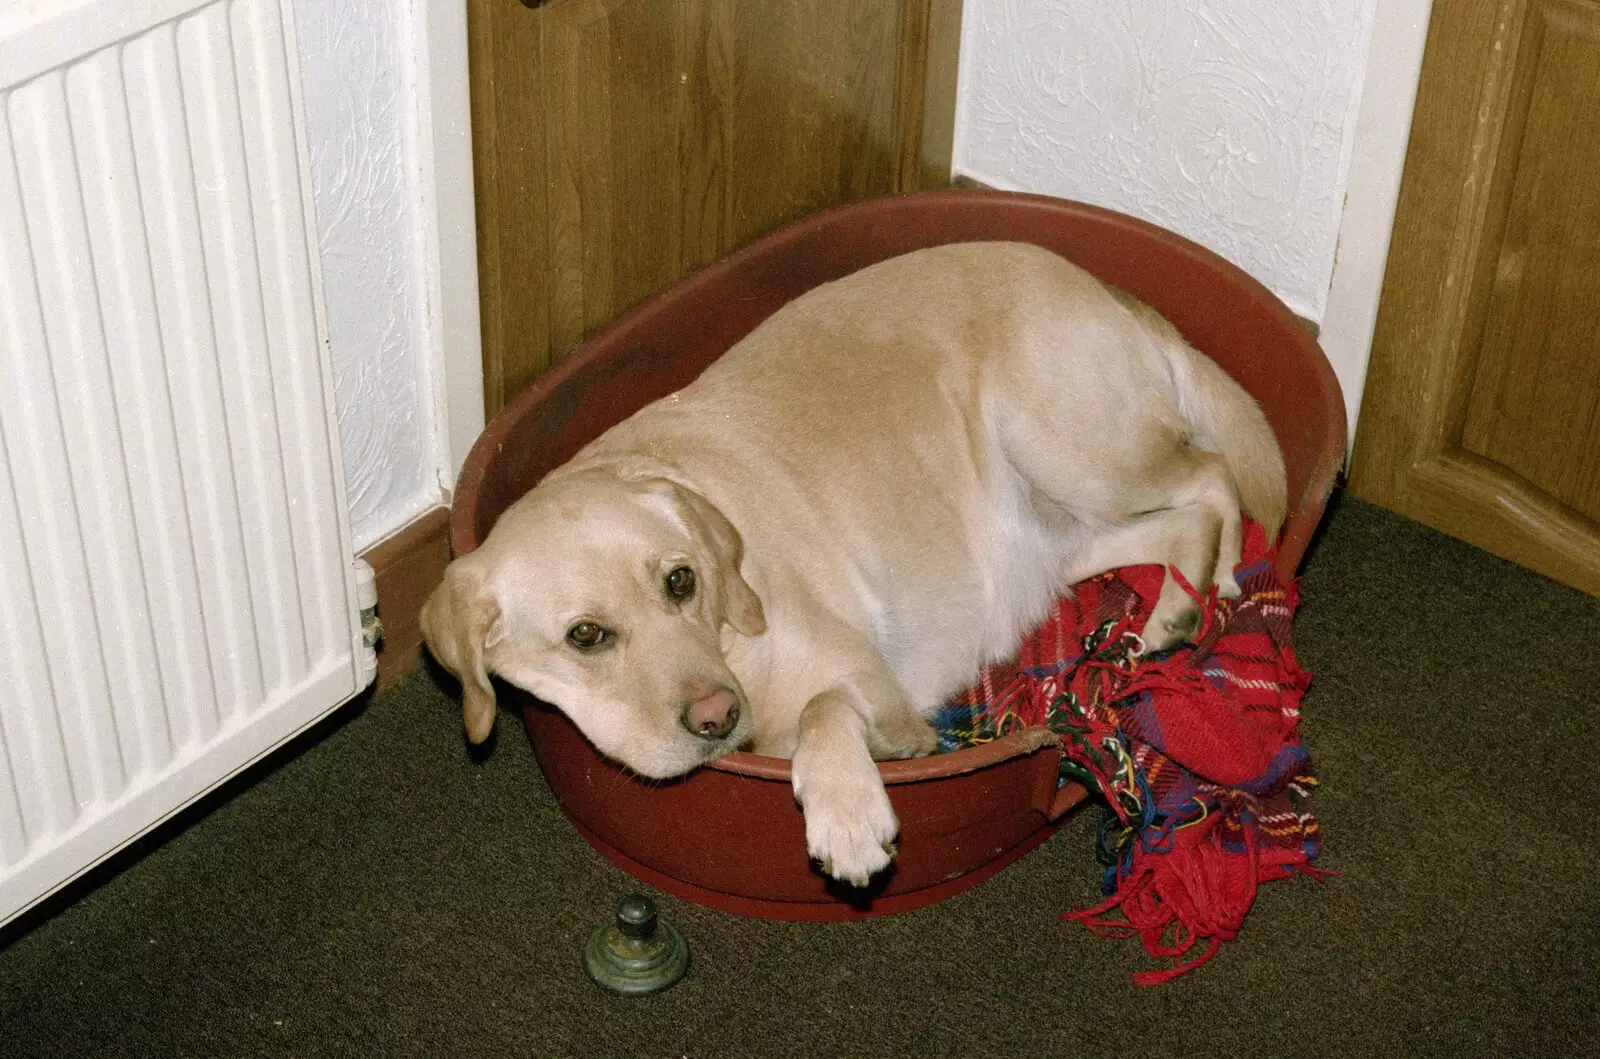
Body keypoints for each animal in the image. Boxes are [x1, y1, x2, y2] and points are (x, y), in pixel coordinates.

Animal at [422, 238, 1286, 889]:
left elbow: (821, 708)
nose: (718, 715)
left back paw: (1221, 586)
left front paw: (847, 813)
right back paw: (1173, 611)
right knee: (1179, 522)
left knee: (1216, 482)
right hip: (1064, 530)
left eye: (680, 580)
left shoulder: (878, 689)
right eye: (585, 635)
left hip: (1074, 450)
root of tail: (1105, 287)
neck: (734, 642)